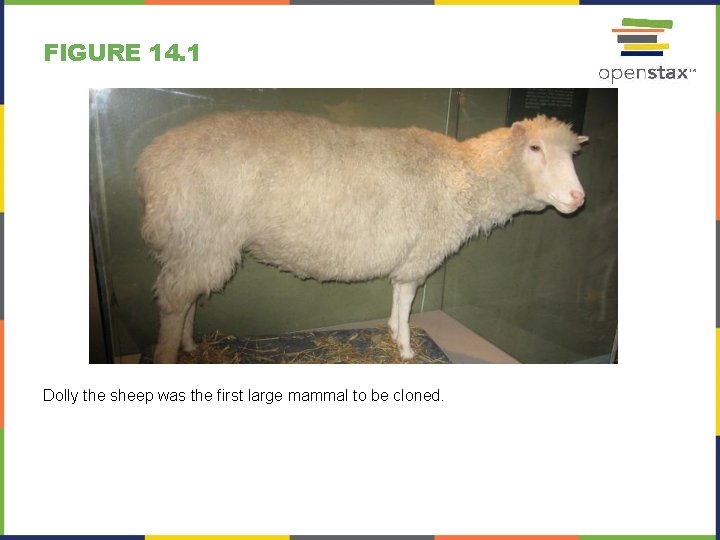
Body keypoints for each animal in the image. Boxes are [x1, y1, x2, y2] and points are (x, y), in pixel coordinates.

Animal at [137, 111, 588, 364]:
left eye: (573, 156)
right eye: (534, 148)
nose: (578, 198)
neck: (464, 176)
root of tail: (150, 160)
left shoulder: (410, 255)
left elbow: (397, 301)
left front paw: (393, 336)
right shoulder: (421, 253)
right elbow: (406, 301)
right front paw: (405, 349)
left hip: (196, 244)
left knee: (189, 297)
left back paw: (191, 347)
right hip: (199, 233)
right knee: (174, 302)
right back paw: (167, 356)